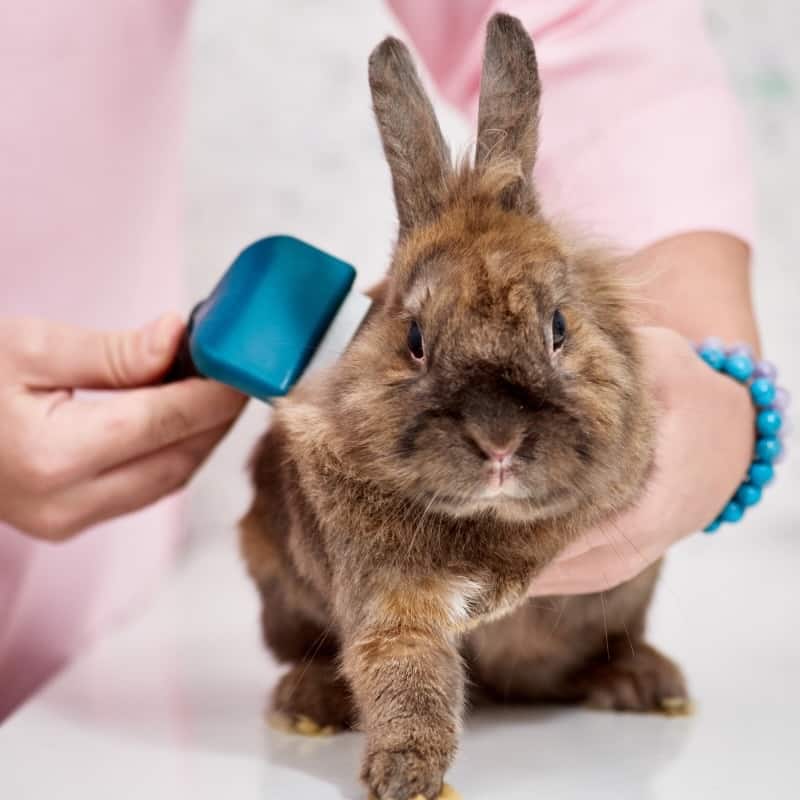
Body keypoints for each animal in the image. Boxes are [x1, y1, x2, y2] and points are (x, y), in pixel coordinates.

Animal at [241, 12, 692, 800]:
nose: (499, 440)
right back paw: (307, 705)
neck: (490, 519)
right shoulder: (391, 597)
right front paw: (406, 776)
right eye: (415, 339)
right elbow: (405, 670)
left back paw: (648, 685)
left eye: (558, 326)